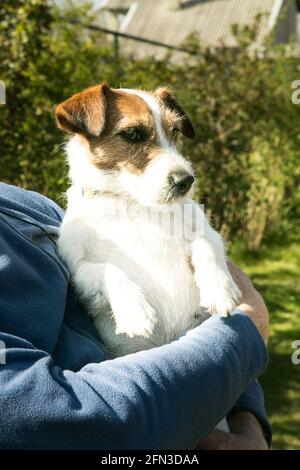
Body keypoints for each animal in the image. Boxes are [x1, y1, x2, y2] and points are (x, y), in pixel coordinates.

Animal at [55, 83, 241, 360]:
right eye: (132, 134)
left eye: (175, 131)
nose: (186, 180)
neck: (135, 204)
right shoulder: (78, 270)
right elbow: (108, 270)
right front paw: (134, 310)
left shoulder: (208, 231)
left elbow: (205, 246)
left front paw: (220, 288)